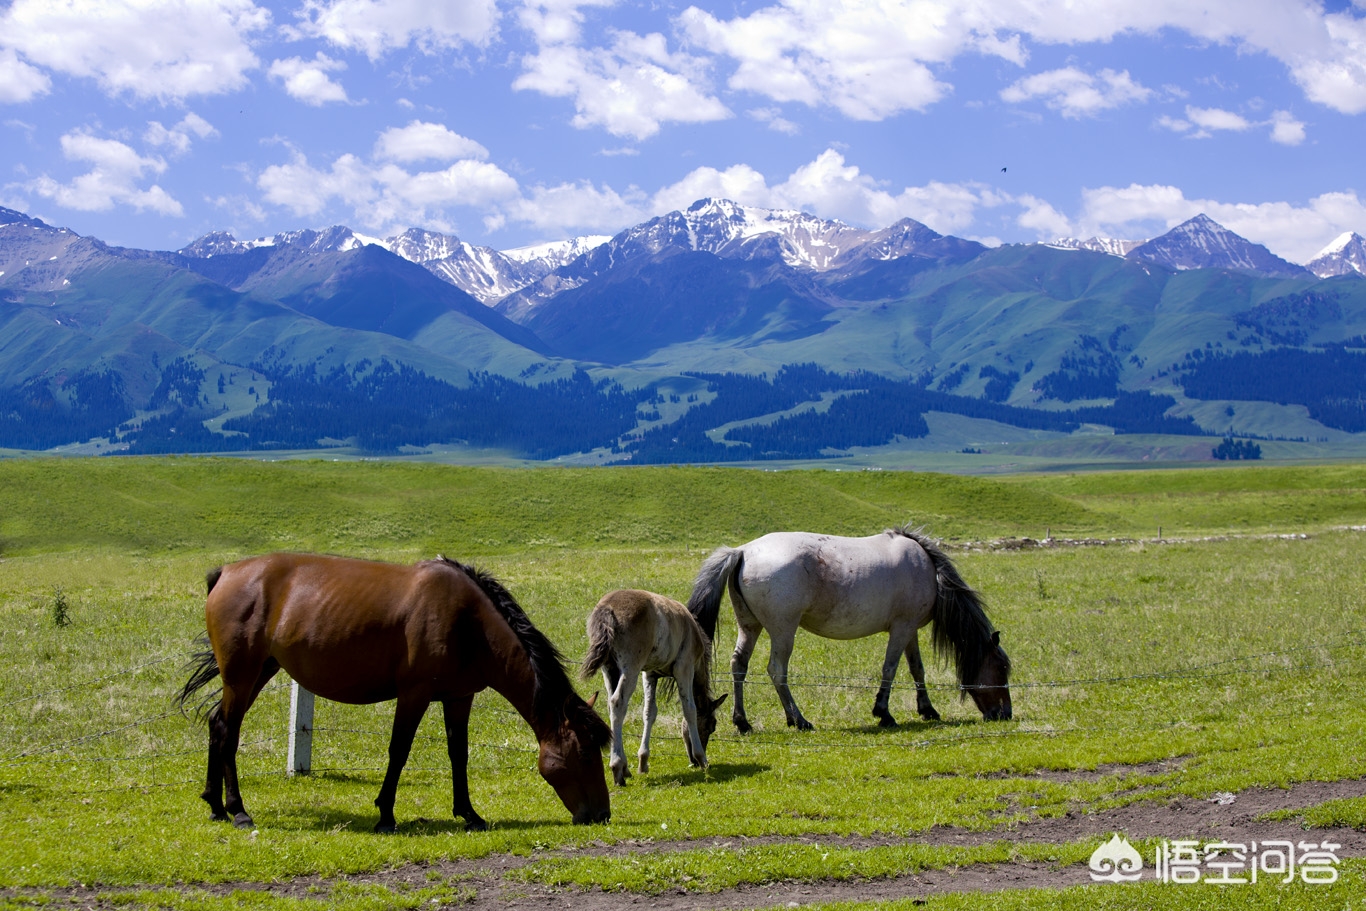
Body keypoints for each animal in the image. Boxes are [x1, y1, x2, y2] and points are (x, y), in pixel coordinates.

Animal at [178, 557, 611, 835]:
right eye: (588, 754)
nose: (602, 814)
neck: (469, 623)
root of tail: (227, 573)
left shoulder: (459, 697)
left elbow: (459, 754)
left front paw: (469, 813)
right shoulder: (414, 694)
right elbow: (399, 751)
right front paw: (386, 814)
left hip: (259, 671)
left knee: (218, 725)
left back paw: (215, 806)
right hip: (241, 676)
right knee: (229, 732)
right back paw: (237, 811)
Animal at [579, 587, 726, 786]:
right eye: (712, 726)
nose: (693, 762)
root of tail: (607, 609)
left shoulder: (649, 674)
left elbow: (649, 712)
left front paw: (643, 762)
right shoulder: (684, 668)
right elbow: (689, 709)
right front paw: (702, 758)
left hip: (609, 669)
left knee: (611, 705)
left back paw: (624, 767)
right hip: (631, 667)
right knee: (618, 703)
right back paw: (617, 767)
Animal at [688, 527, 1010, 732]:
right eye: (1002, 669)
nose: (1005, 714)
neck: (929, 570)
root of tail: (742, 551)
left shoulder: (909, 630)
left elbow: (917, 668)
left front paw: (927, 709)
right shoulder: (901, 628)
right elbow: (890, 668)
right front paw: (884, 713)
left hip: (750, 626)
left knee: (738, 665)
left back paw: (743, 722)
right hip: (783, 630)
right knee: (777, 670)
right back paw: (799, 720)